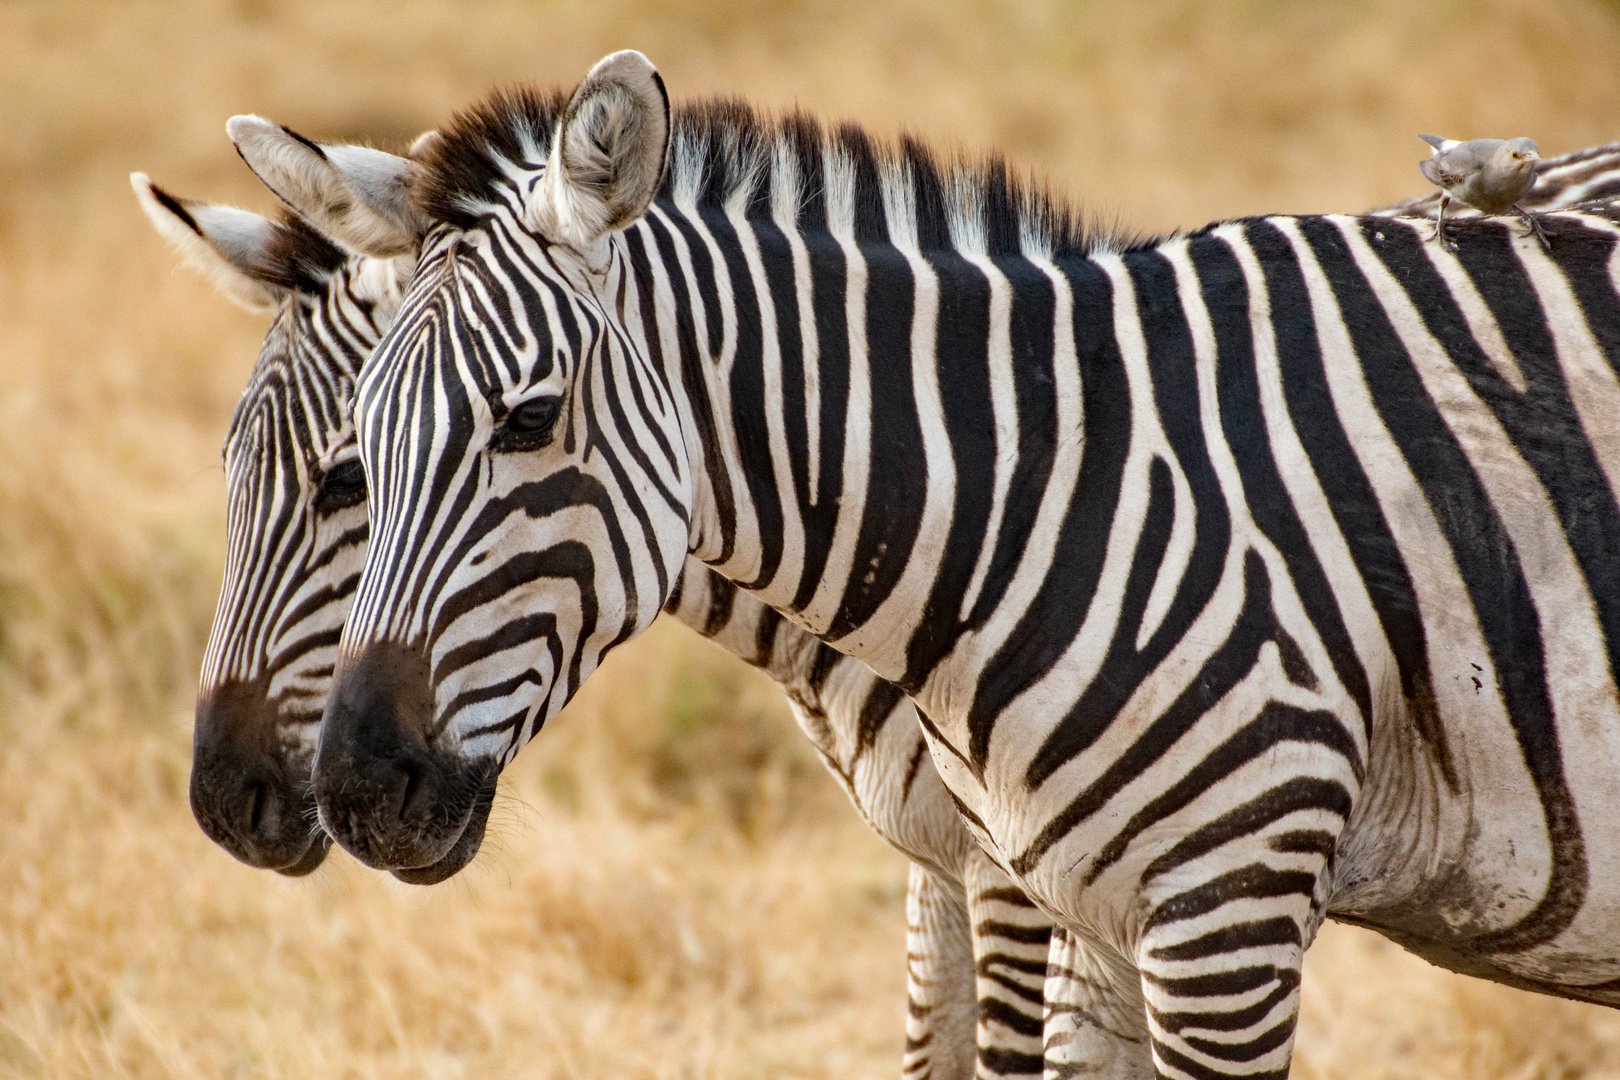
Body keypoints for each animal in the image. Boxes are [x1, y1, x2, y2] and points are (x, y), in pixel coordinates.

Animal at [234, 46, 1620, 1075]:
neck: (1036, 490)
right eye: (366, 452)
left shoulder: (1219, 907)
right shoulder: (1045, 894)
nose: (348, 787)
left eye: (526, 421)